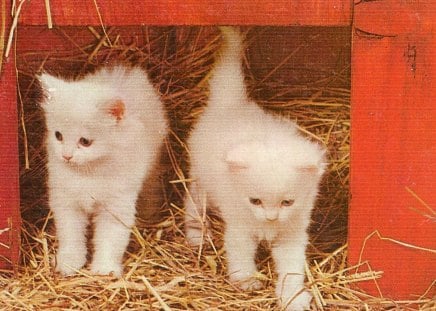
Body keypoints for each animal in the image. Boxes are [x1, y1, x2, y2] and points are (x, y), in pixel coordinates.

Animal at [39, 66, 169, 278]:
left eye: (85, 141)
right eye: (58, 136)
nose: (66, 156)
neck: (88, 172)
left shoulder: (116, 206)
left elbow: (111, 240)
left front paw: (105, 268)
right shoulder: (67, 203)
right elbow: (71, 236)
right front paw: (69, 262)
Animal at [183, 28, 324, 310]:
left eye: (287, 202)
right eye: (255, 201)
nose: (271, 218)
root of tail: (229, 104)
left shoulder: (293, 230)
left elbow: (291, 267)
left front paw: (292, 295)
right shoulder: (239, 222)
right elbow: (239, 251)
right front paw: (246, 279)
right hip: (201, 178)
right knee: (193, 200)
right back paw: (196, 234)